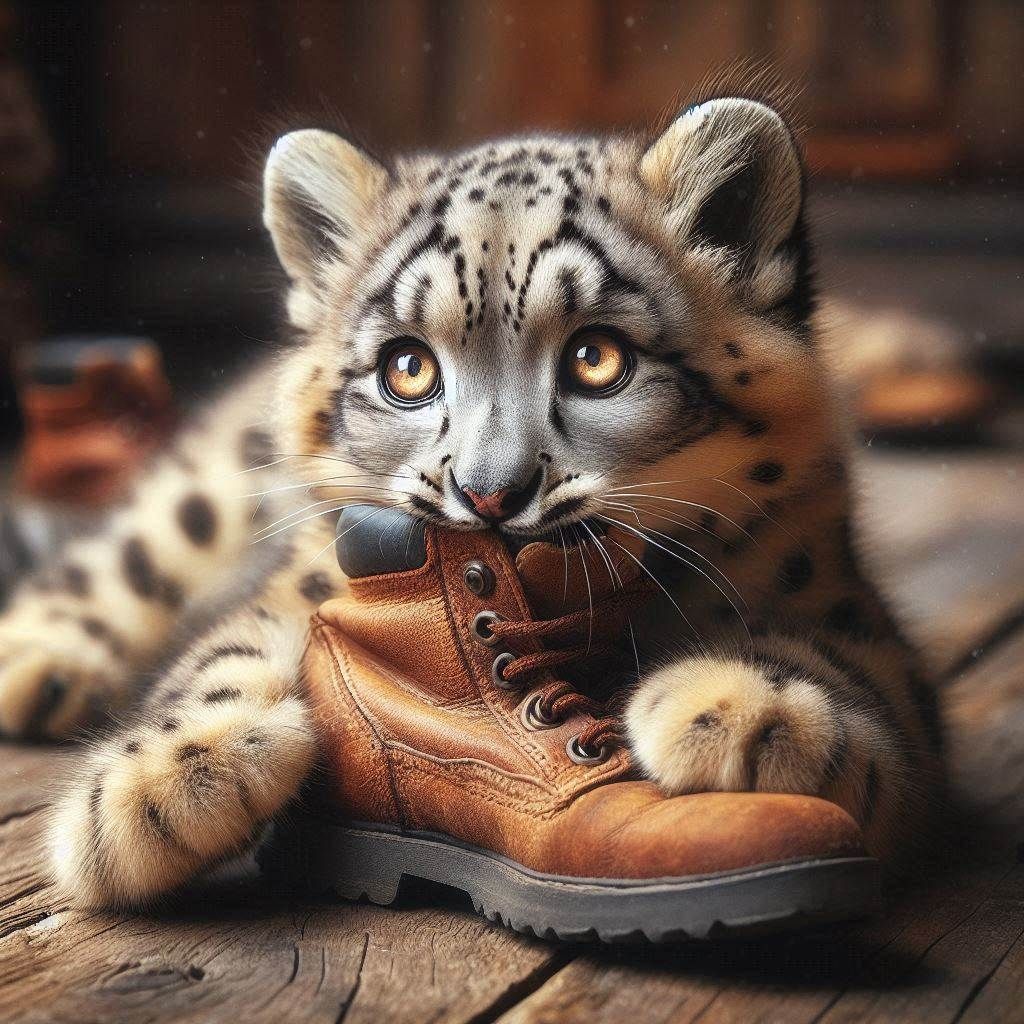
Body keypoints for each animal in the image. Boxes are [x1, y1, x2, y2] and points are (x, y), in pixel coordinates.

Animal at [0, 88, 943, 906]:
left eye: (597, 358)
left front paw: (741, 710)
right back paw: (36, 664)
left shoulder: (839, 605)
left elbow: (835, 667)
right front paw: (162, 783)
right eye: (408, 368)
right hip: (214, 484)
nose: (489, 494)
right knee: (136, 542)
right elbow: (221, 654)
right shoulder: (312, 586)